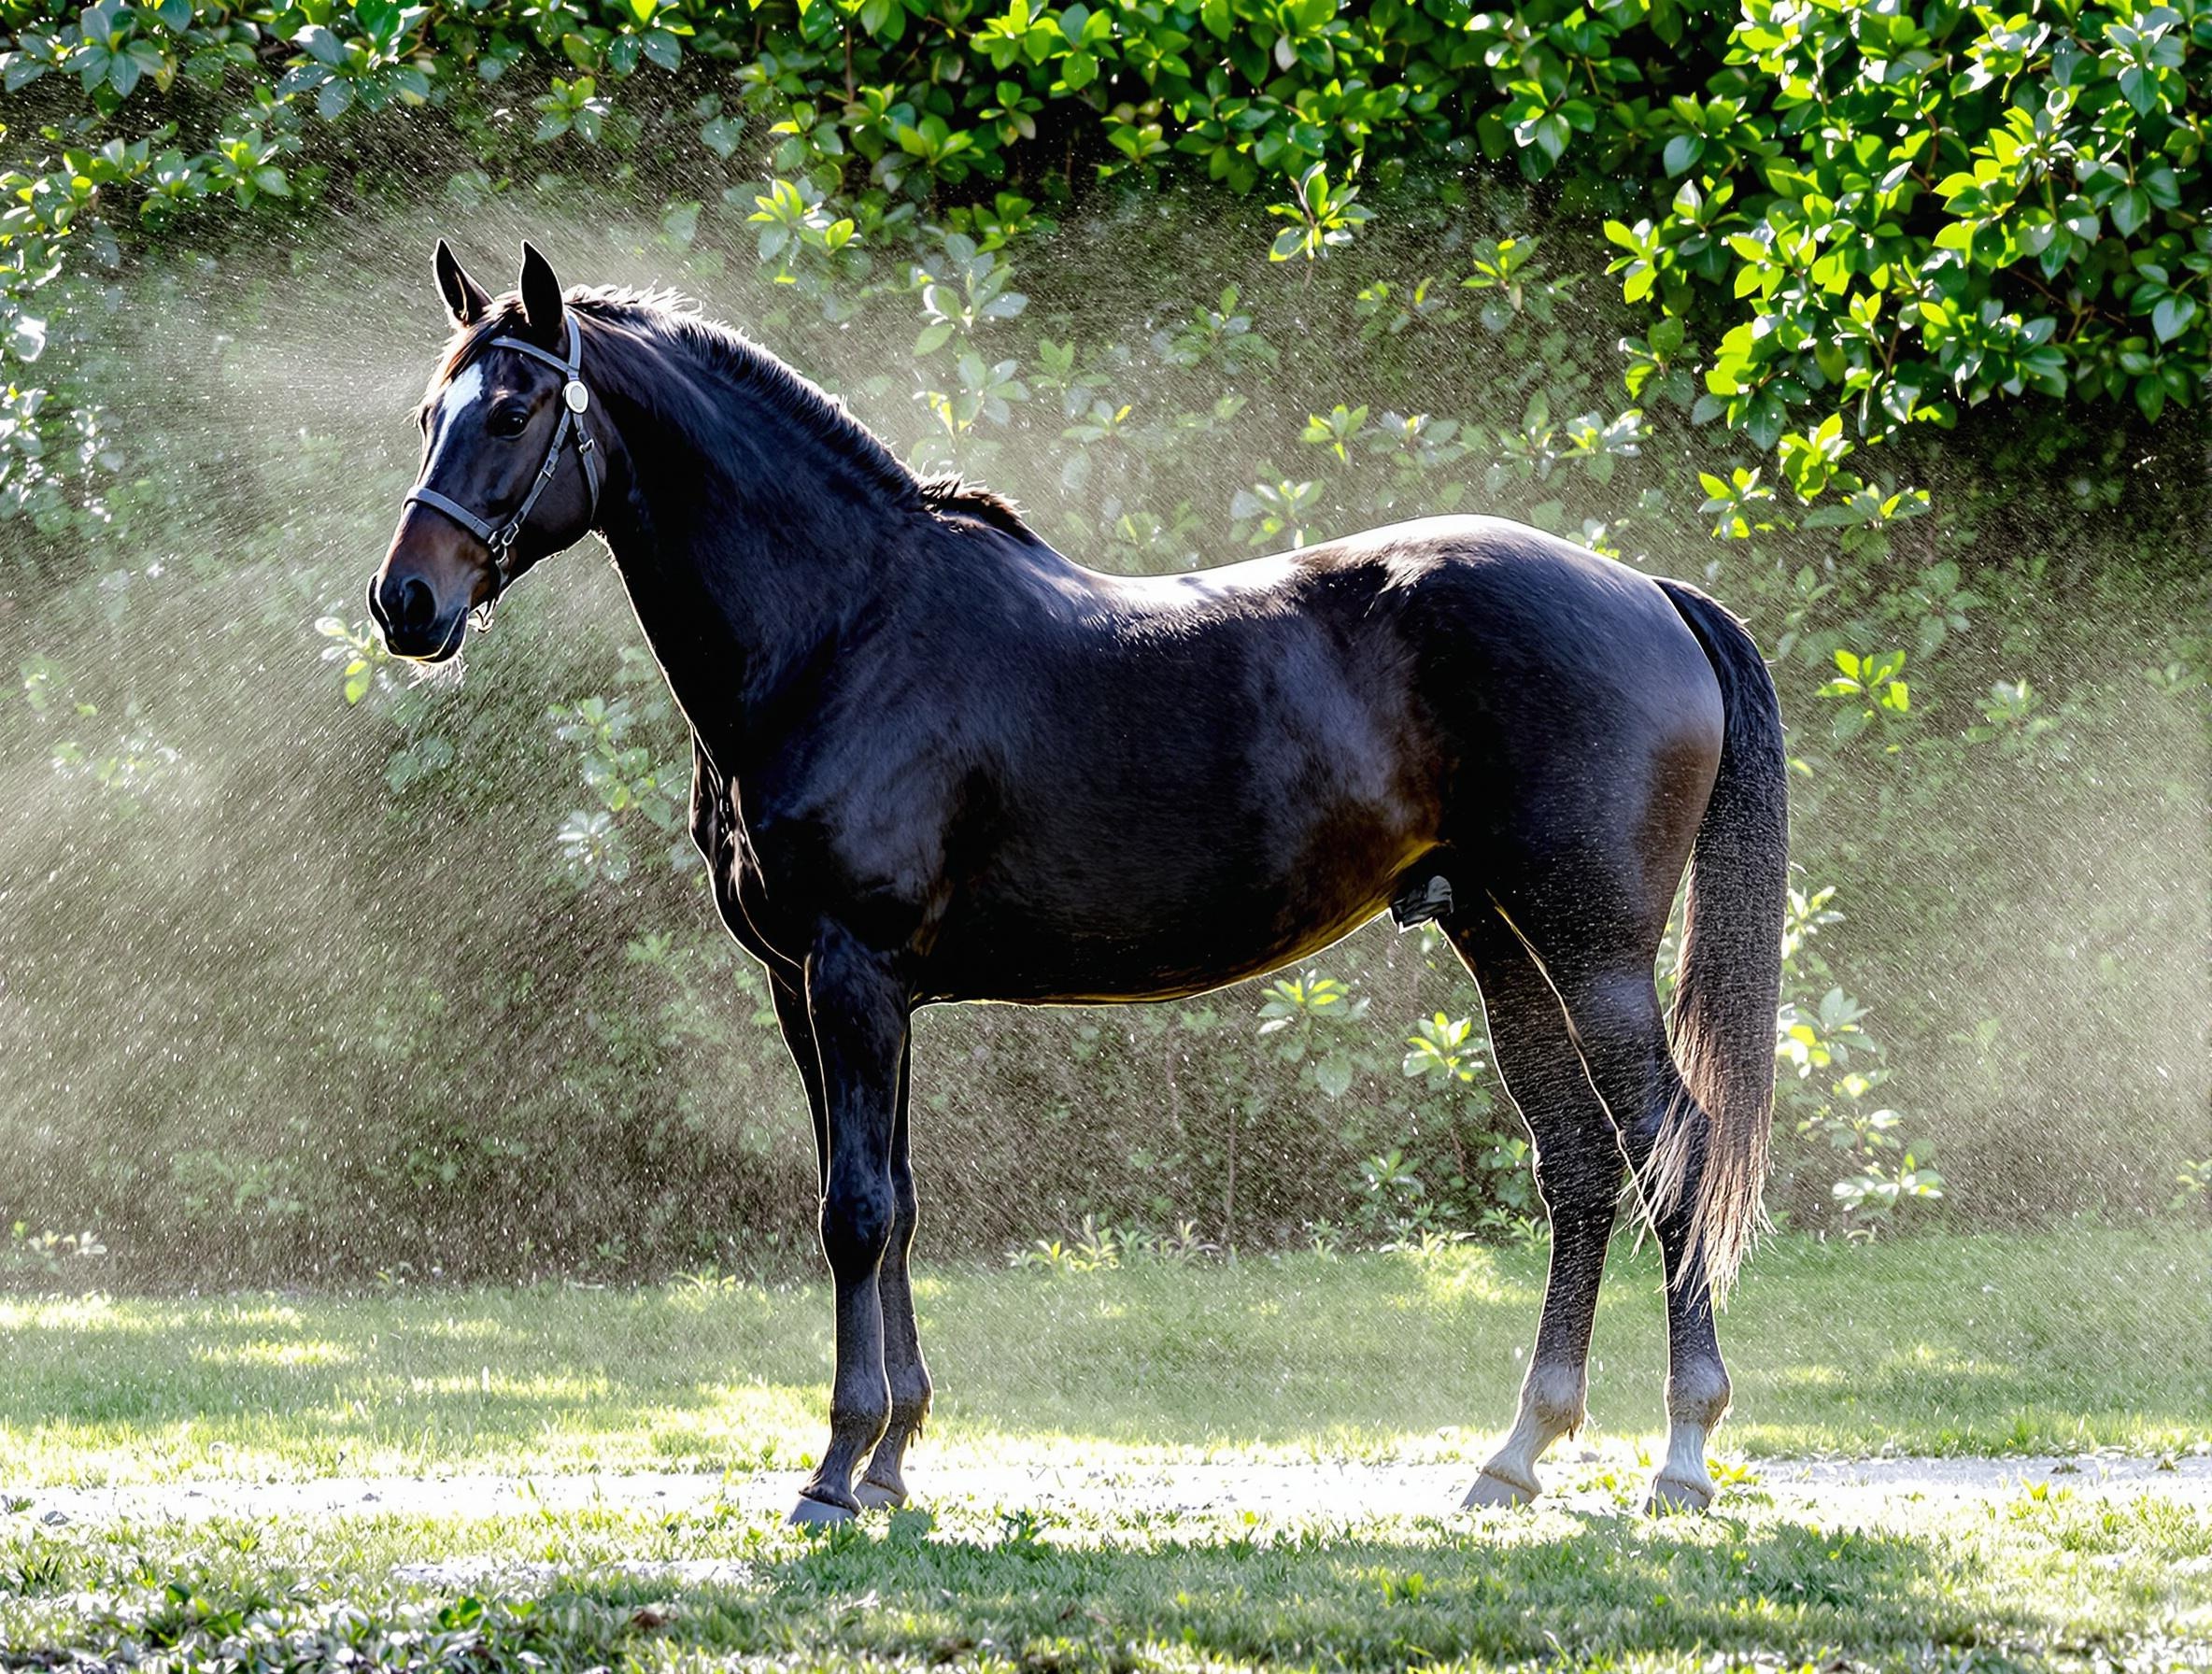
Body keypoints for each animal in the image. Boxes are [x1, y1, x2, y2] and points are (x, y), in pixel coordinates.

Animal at [371, 242, 1787, 1521]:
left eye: (512, 410)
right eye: (429, 412)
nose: (405, 603)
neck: (843, 627)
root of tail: (1646, 592)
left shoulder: (852, 971)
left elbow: (854, 1212)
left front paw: (835, 1471)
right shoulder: (820, 991)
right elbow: (893, 1199)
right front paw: (893, 1459)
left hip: (1594, 952)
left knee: (1671, 1151)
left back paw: (1681, 1457)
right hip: (1501, 944)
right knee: (1578, 1170)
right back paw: (1517, 1455)